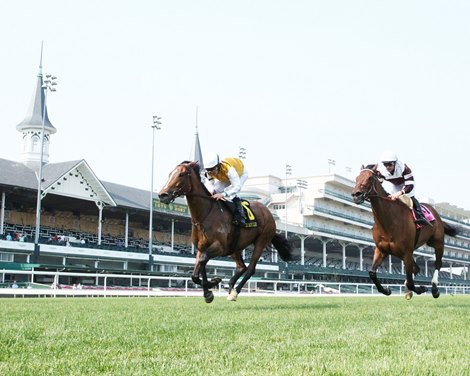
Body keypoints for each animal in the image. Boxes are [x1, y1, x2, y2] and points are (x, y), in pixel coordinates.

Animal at [158, 161, 292, 302]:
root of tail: (268, 213)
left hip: (261, 241)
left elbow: (203, 261)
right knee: (241, 266)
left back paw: (235, 292)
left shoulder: (220, 247)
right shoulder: (201, 248)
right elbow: (196, 271)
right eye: (169, 174)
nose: (162, 195)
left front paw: (211, 286)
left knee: (250, 269)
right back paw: (230, 286)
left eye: (181, 174)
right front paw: (210, 288)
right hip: (235, 247)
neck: (205, 215)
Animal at [352, 166, 458, 302]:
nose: (356, 194)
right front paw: (387, 290)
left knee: (437, 264)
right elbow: (372, 273)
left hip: (438, 243)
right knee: (417, 269)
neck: (389, 221)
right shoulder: (381, 250)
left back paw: (434, 289)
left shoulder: (407, 252)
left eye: (370, 178)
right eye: (356, 178)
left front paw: (421, 288)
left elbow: (411, 282)